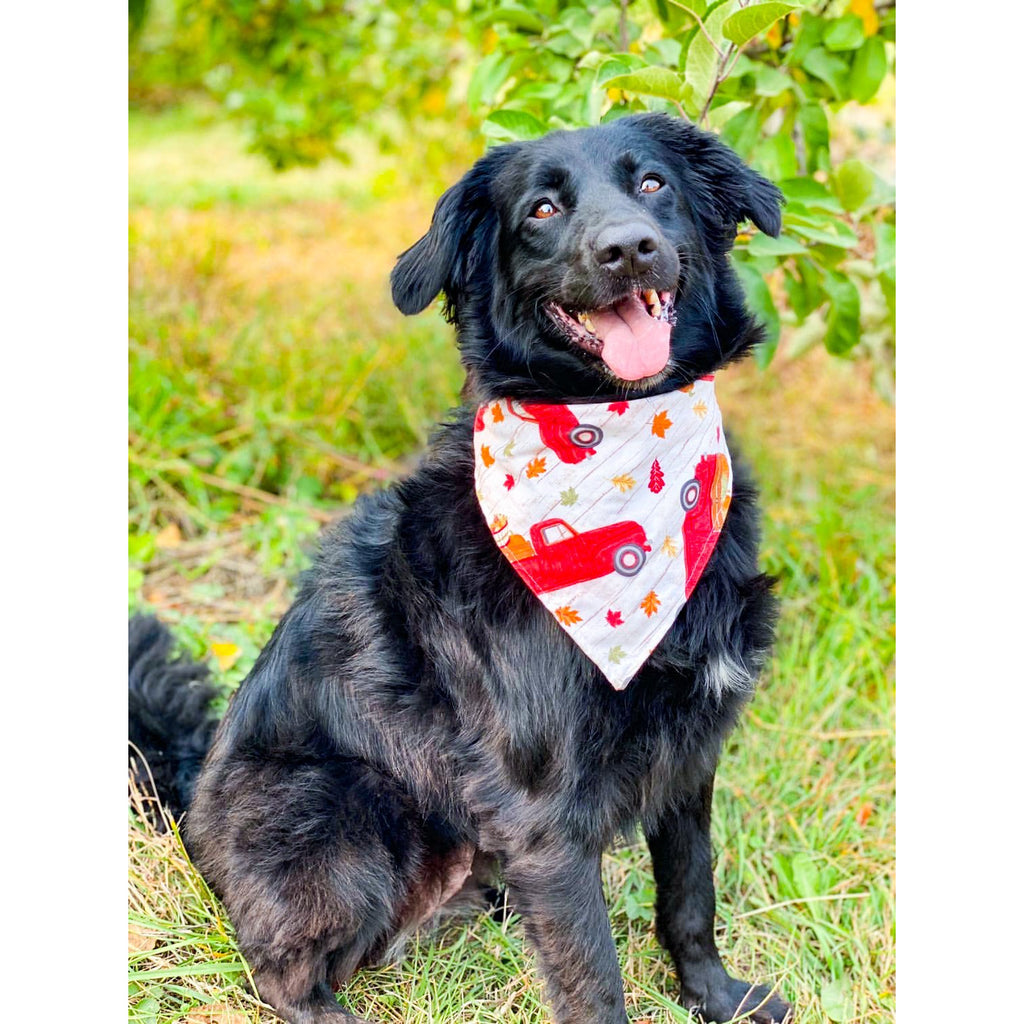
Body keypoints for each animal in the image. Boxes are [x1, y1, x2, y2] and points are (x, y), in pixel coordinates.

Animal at [130, 114, 790, 1024]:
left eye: (653, 183)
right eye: (542, 208)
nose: (629, 248)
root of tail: (193, 797)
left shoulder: (690, 754)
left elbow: (691, 894)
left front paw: (719, 998)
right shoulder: (545, 811)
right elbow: (593, 976)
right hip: (344, 815)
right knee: (278, 970)